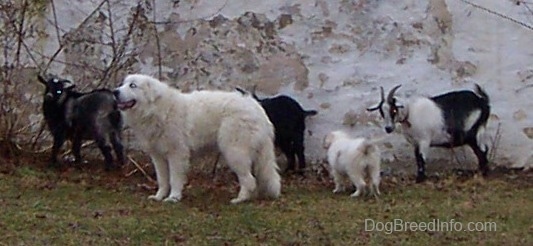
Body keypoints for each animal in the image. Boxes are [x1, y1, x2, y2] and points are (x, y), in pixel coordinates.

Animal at [114, 73, 280, 204]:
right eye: (123, 84)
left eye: (133, 85)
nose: (115, 92)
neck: (155, 109)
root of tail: (256, 107)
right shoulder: (158, 157)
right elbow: (162, 180)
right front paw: (159, 197)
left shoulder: (176, 154)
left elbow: (174, 179)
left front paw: (173, 198)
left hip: (235, 152)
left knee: (249, 180)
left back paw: (240, 199)